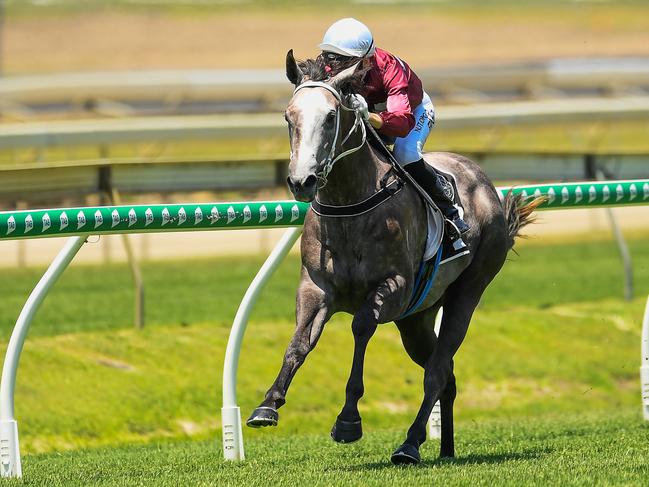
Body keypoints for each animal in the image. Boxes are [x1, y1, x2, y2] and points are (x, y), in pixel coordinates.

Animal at [246, 51, 540, 468]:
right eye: (289, 117)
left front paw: (348, 420)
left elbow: (361, 327)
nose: (302, 181)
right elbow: (299, 343)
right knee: (445, 374)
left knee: (437, 371)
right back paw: (445, 449)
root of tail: (483, 181)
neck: (348, 203)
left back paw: (410, 444)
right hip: (416, 319)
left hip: (467, 291)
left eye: (331, 117)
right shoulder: (316, 288)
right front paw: (267, 405)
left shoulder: (394, 286)